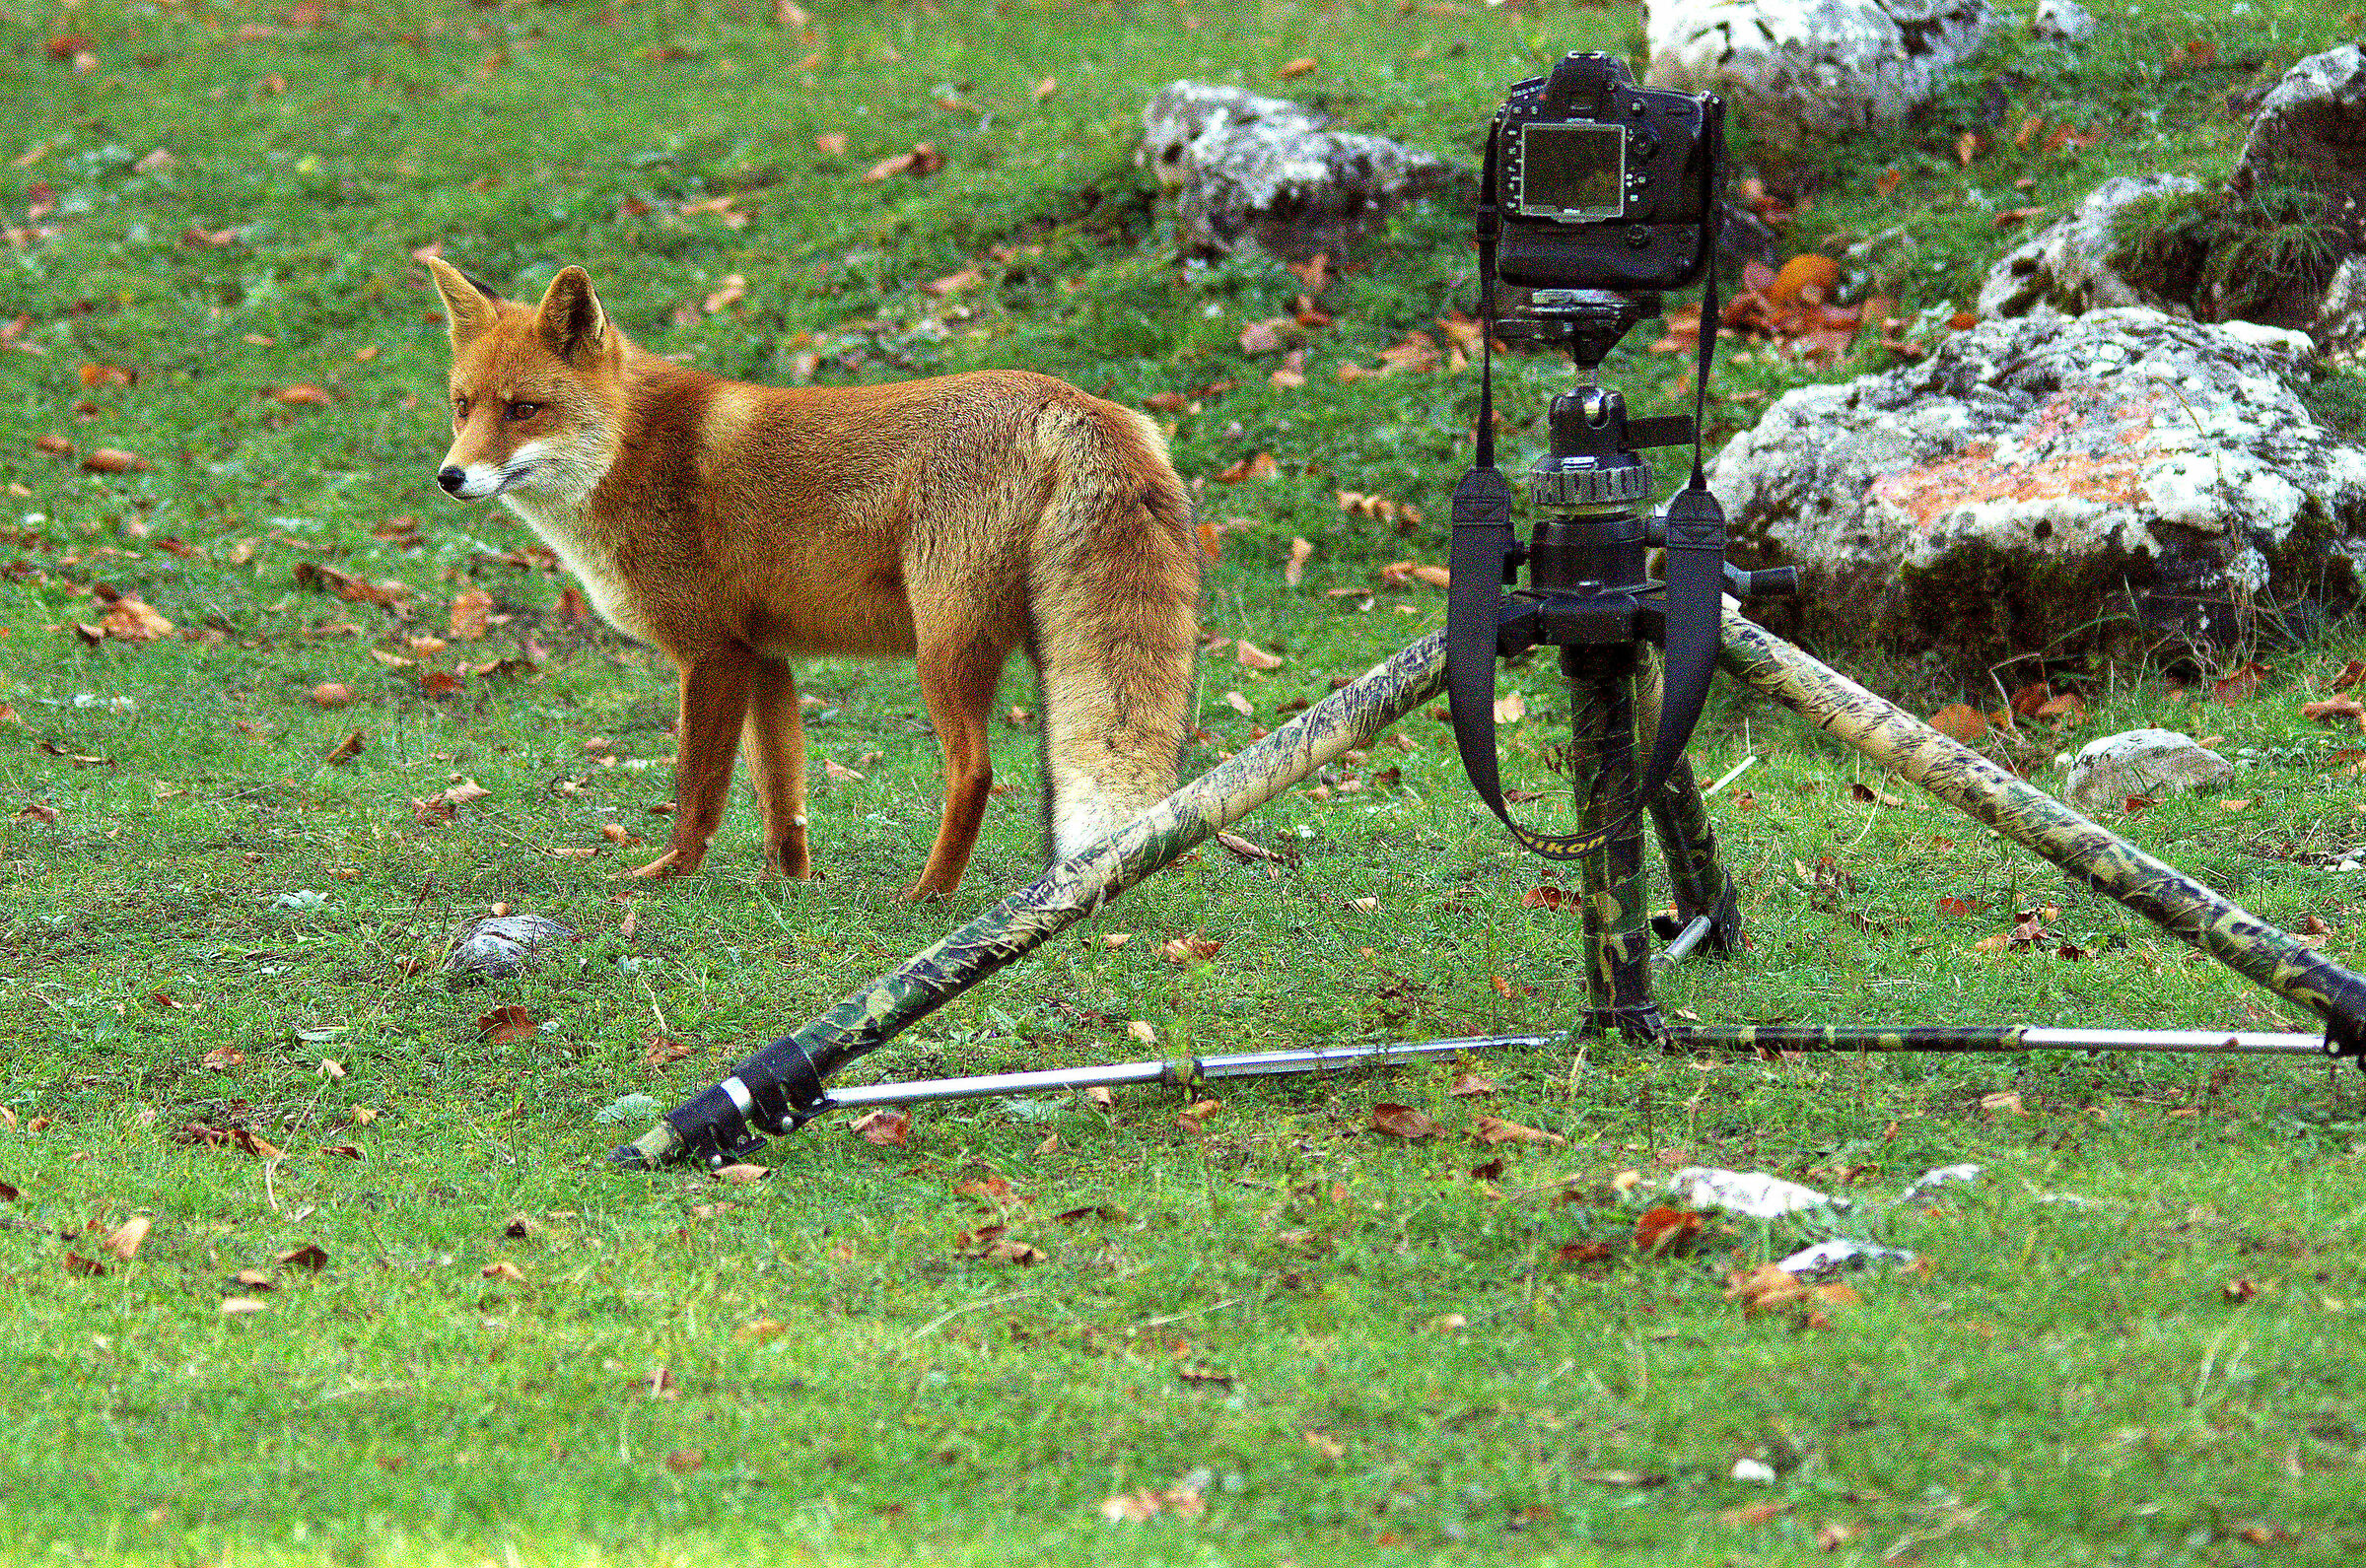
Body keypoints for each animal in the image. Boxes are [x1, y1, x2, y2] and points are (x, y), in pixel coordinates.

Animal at [423, 262, 1202, 903]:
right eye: (462, 406)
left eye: (523, 409)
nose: (450, 476)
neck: (630, 450)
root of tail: (1070, 399)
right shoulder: (763, 655)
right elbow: (782, 794)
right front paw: (788, 885)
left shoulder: (711, 653)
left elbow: (697, 792)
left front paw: (667, 876)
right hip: (1048, 655)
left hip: (943, 652)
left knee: (976, 773)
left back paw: (929, 894)